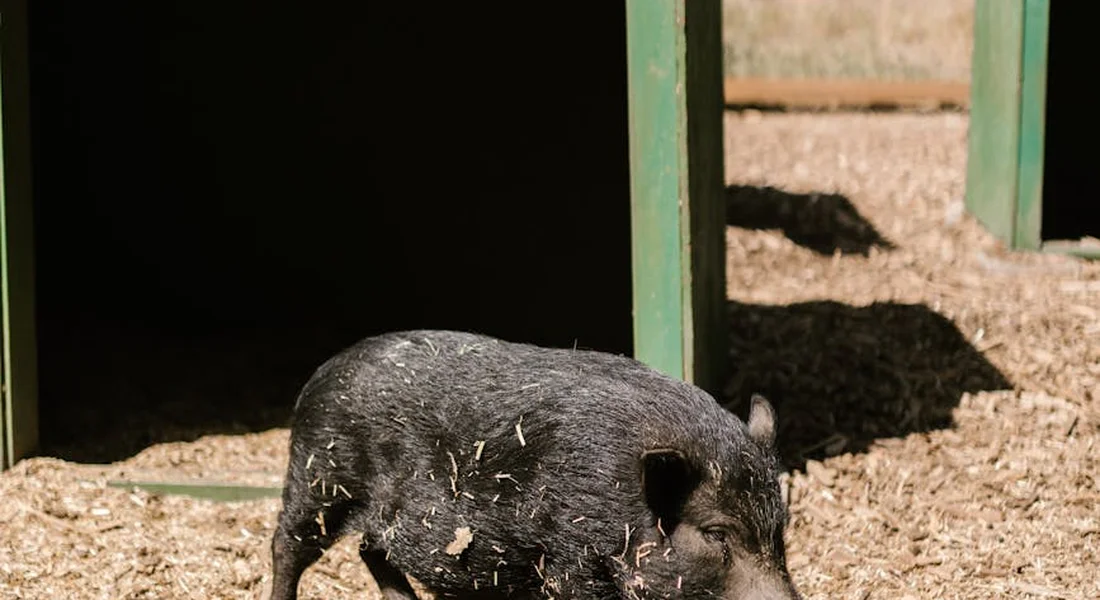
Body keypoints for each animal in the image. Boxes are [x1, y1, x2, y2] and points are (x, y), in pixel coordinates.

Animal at [268, 330, 801, 599]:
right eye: (715, 534)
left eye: (779, 529)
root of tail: (323, 371)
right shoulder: (569, 559)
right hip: (318, 477)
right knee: (287, 547)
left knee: (370, 550)